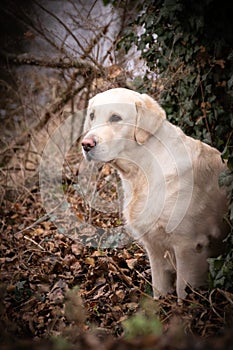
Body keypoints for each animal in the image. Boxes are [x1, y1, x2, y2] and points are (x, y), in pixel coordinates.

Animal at [80, 88, 228, 300]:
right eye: (92, 116)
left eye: (116, 117)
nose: (86, 144)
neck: (142, 172)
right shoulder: (154, 248)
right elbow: (159, 289)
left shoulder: (189, 247)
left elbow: (183, 292)